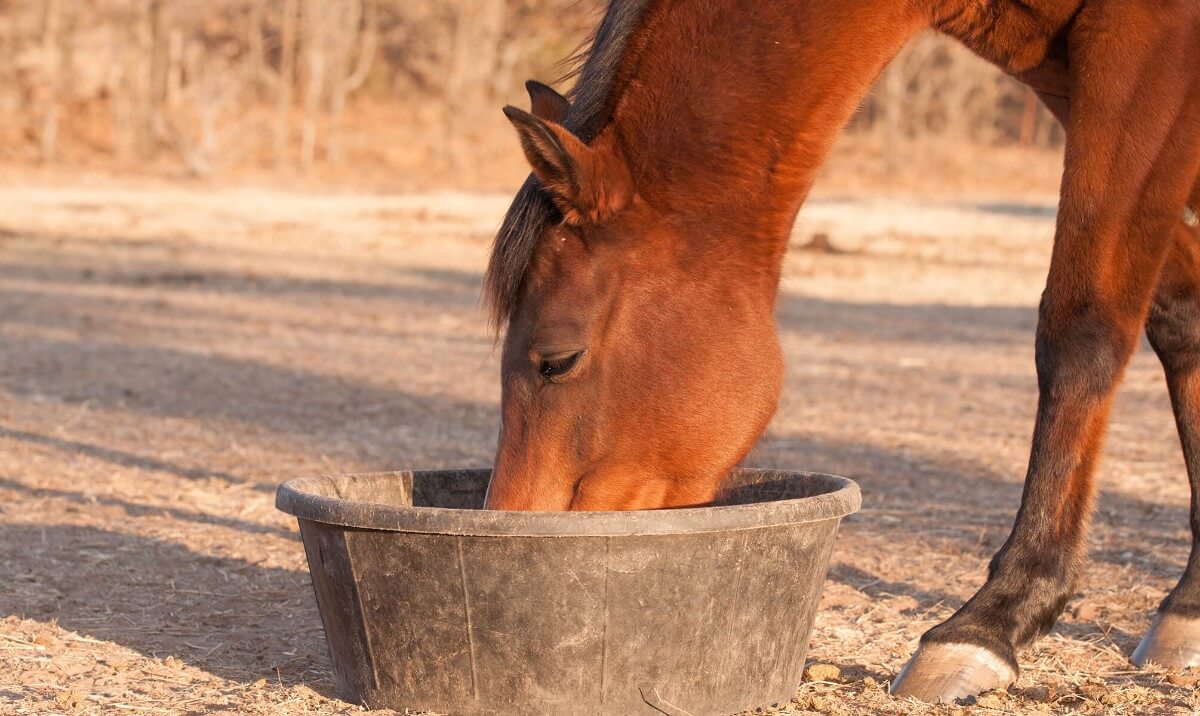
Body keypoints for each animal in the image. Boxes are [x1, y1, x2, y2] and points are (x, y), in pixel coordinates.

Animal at [481, 0, 1200, 702]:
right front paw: (1188, 606)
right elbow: (1181, 322)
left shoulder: (1146, 50)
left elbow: (1082, 331)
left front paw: (994, 618)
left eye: (557, 359)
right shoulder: (1077, 78)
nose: (514, 528)